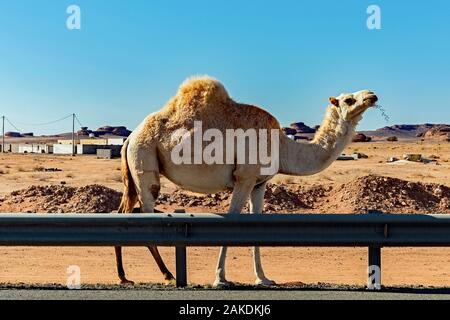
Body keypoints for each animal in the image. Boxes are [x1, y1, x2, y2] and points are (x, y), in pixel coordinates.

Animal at [114, 76, 378, 286]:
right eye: (348, 100)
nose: (372, 95)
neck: (282, 146)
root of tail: (130, 138)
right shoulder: (244, 178)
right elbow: (232, 221)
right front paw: (220, 278)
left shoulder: (259, 184)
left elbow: (255, 226)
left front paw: (264, 278)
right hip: (145, 159)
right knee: (145, 211)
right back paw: (168, 274)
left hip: (133, 171)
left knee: (122, 213)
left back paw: (124, 276)